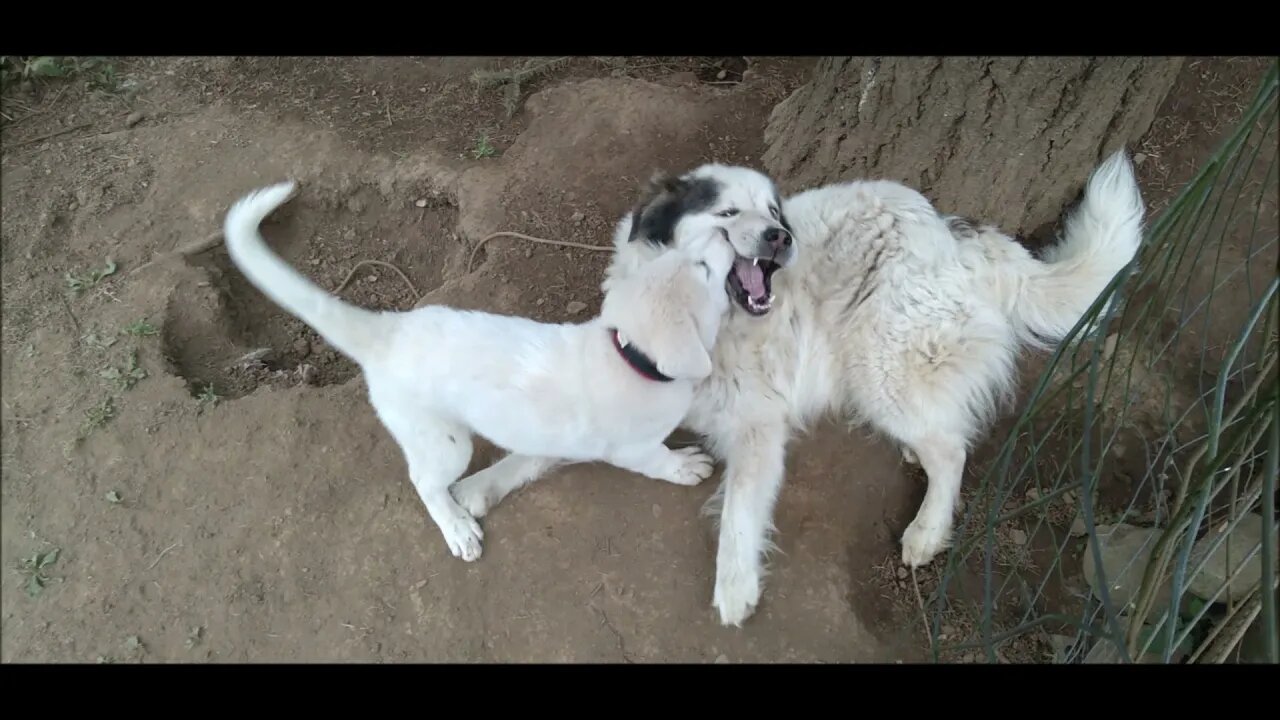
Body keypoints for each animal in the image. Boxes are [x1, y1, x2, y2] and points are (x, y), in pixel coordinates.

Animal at [225, 179, 737, 561]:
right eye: (705, 269)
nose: (726, 231)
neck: (629, 355)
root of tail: (388, 332)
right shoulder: (631, 448)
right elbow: (657, 460)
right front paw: (684, 466)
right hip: (444, 441)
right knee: (425, 482)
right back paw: (456, 528)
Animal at [453, 151, 1152, 622]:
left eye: (772, 211)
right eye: (727, 212)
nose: (780, 236)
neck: (700, 322)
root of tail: (951, 231)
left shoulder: (758, 426)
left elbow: (739, 515)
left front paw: (735, 589)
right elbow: (532, 452)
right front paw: (474, 492)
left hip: (880, 366)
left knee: (952, 449)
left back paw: (927, 530)